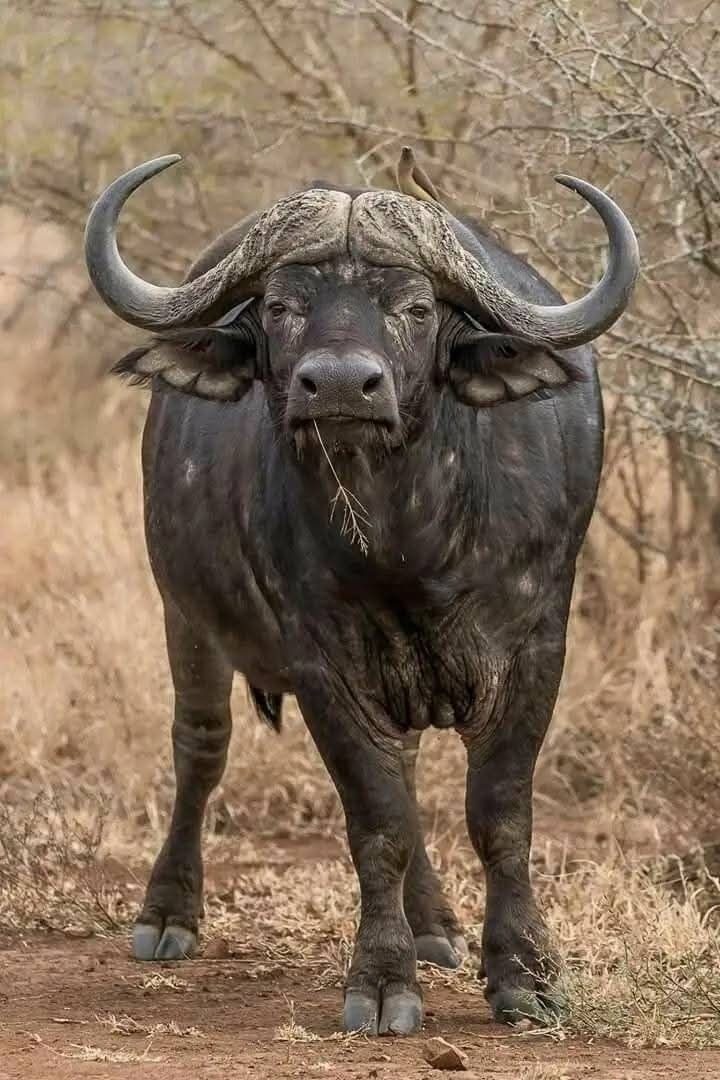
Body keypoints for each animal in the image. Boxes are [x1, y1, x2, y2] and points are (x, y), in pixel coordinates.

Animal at [84, 149, 638, 1036]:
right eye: (281, 306)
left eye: (415, 307)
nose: (342, 386)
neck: (409, 540)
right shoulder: (324, 664)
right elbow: (377, 821)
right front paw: (382, 980)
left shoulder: (536, 647)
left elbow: (499, 813)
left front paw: (523, 973)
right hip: (184, 613)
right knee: (200, 748)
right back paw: (169, 913)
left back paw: (435, 926)